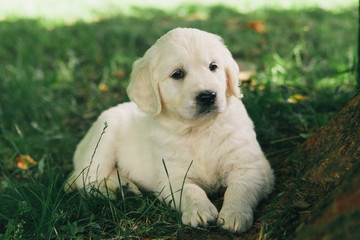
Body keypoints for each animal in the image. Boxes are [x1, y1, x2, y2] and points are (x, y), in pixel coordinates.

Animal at [64, 27, 274, 232]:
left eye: (213, 66)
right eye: (178, 74)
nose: (208, 96)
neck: (199, 129)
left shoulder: (251, 166)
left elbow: (240, 188)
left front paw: (234, 214)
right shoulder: (171, 176)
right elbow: (190, 190)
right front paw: (199, 210)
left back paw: (125, 187)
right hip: (101, 142)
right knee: (88, 181)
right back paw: (113, 191)